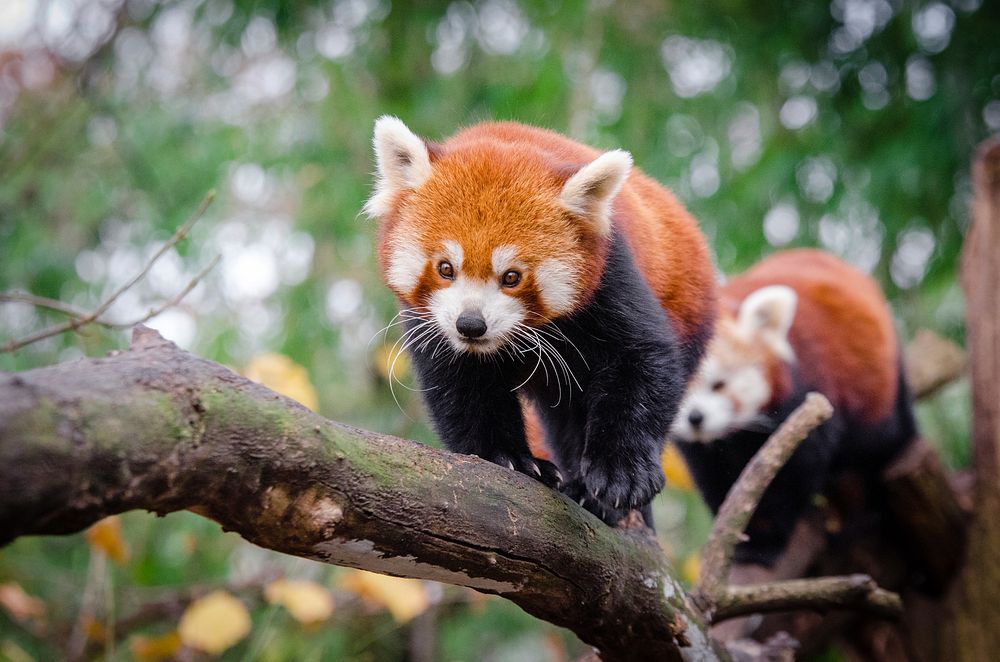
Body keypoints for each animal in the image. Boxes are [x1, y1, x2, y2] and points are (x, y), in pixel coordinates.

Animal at [364, 118, 716, 524]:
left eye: (512, 277)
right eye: (445, 268)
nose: (471, 325)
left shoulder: (611, 272)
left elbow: (643, 358)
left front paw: (621, 475)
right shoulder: (433, 323)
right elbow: (463, 387)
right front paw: (508, 457)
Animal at [668, 249, 916, 564]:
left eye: (719, 385)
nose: (695, 418)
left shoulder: (807, 395)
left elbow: (793, 471)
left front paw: (766, 542)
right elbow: (716, 480)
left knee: (883, 442)